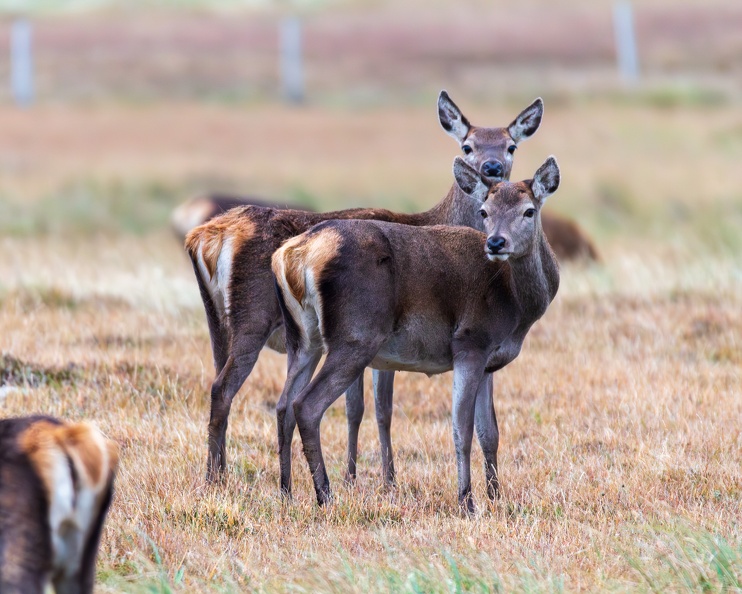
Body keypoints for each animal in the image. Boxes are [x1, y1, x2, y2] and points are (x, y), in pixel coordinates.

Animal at [185, 91, 544, 485]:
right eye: (468, 145)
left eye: (510, 145)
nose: (492, 168)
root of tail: (202, 237)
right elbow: (374, 409)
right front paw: (380, 480)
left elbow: (362, 408)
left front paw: (361, 476)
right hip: (253, 316)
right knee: (224, 389)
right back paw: (216, 479)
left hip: (219, 322)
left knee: (221, 385)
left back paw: (222, 473)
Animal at [271, 155, 561, 513]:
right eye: (484, 211)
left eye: (528, 210)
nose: (496, 242)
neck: (516, 308)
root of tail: (292, 255)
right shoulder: (471, 341)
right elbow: (461, 429)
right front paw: (467, 502)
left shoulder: (489, 360)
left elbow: (489, 432)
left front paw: (496, 497)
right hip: (356, 334)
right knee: (306, 405)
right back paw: (325, 496)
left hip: (302, 338)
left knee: (283, 405)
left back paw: (286, 492)